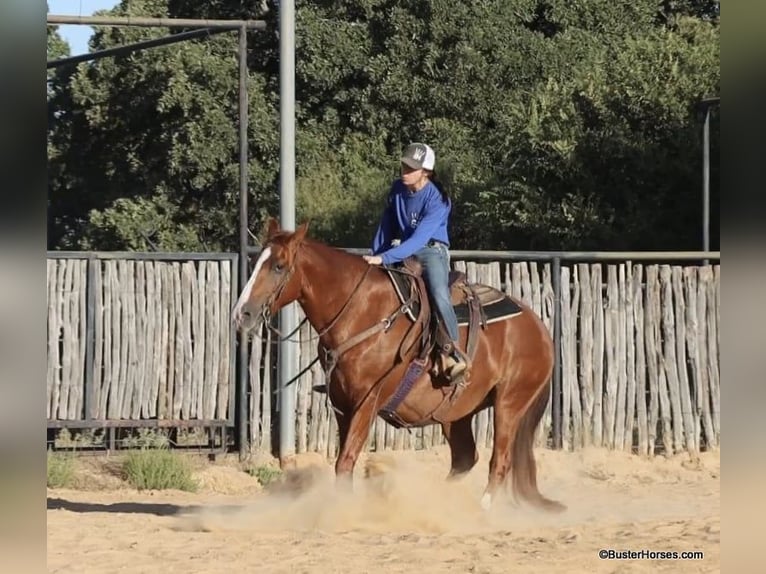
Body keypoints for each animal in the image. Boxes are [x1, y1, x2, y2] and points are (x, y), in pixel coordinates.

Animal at [233, 217, 565, 512]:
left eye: (279, 266)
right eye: (257, 263)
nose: (241, 314)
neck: (362, 312)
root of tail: (539, 327)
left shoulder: (367, 402)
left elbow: (345, 460)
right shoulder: (341, 404)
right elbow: (344, 462)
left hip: (509, 403)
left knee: (500, 460)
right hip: (456, 413)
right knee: (464, 458)